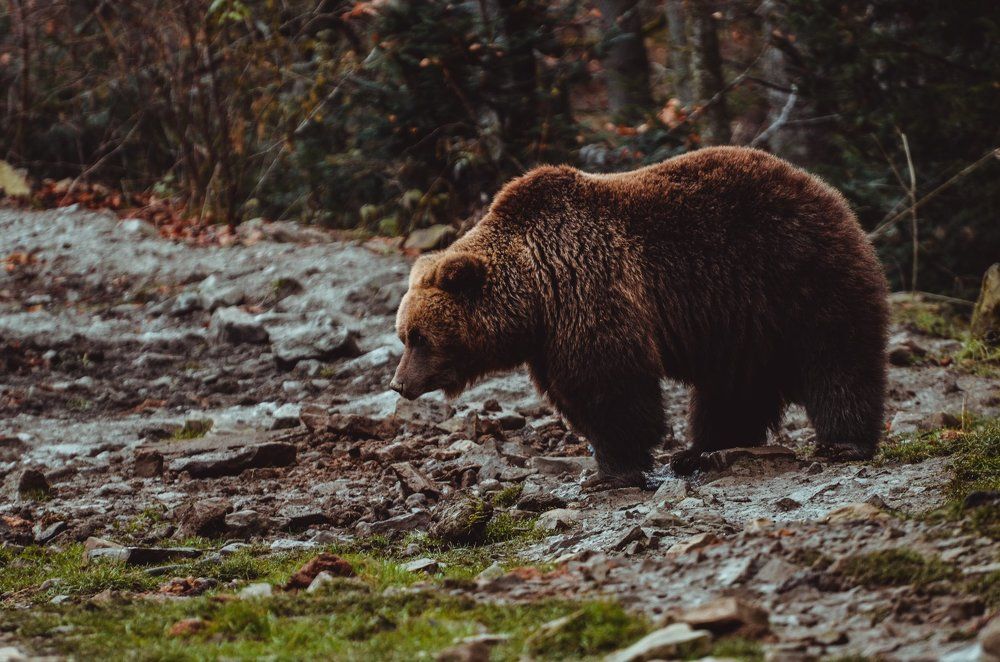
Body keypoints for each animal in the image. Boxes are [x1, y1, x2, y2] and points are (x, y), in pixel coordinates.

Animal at [391, 146, 889, 487]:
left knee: (836, 356)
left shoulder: (590, 292)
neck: (537, 293)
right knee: (734, 388)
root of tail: (824, 188)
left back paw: (843, 441)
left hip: (795, 276)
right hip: (742, 324)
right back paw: (703, 450)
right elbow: (576, 394)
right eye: (404, 336)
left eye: (419, 337)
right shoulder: (550, 340)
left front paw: (612, 471)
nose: (399, 383)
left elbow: (611, 387)